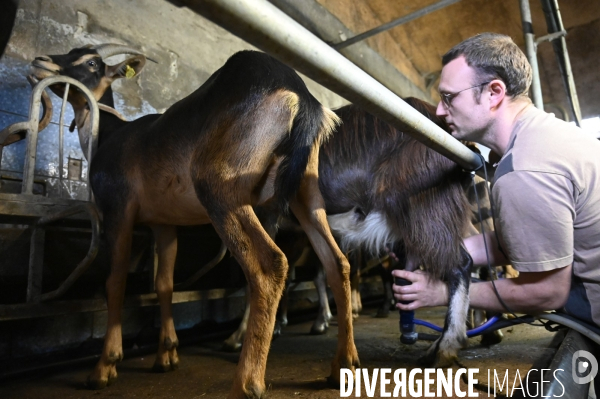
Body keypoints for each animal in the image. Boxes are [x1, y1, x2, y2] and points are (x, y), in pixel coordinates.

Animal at [30, 45, 358, 398]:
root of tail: (303, 99)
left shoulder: (117, 209)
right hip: (307, 194)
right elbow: (164, 284)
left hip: (220, 186)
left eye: (91, 62)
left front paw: (105, 367)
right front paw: (167, 355)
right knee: (337, 262)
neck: (110, 135)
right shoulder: (163, 224)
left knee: (269, 264)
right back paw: (343, 365)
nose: (40, 61)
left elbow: (114, 283)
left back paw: (247, 384)